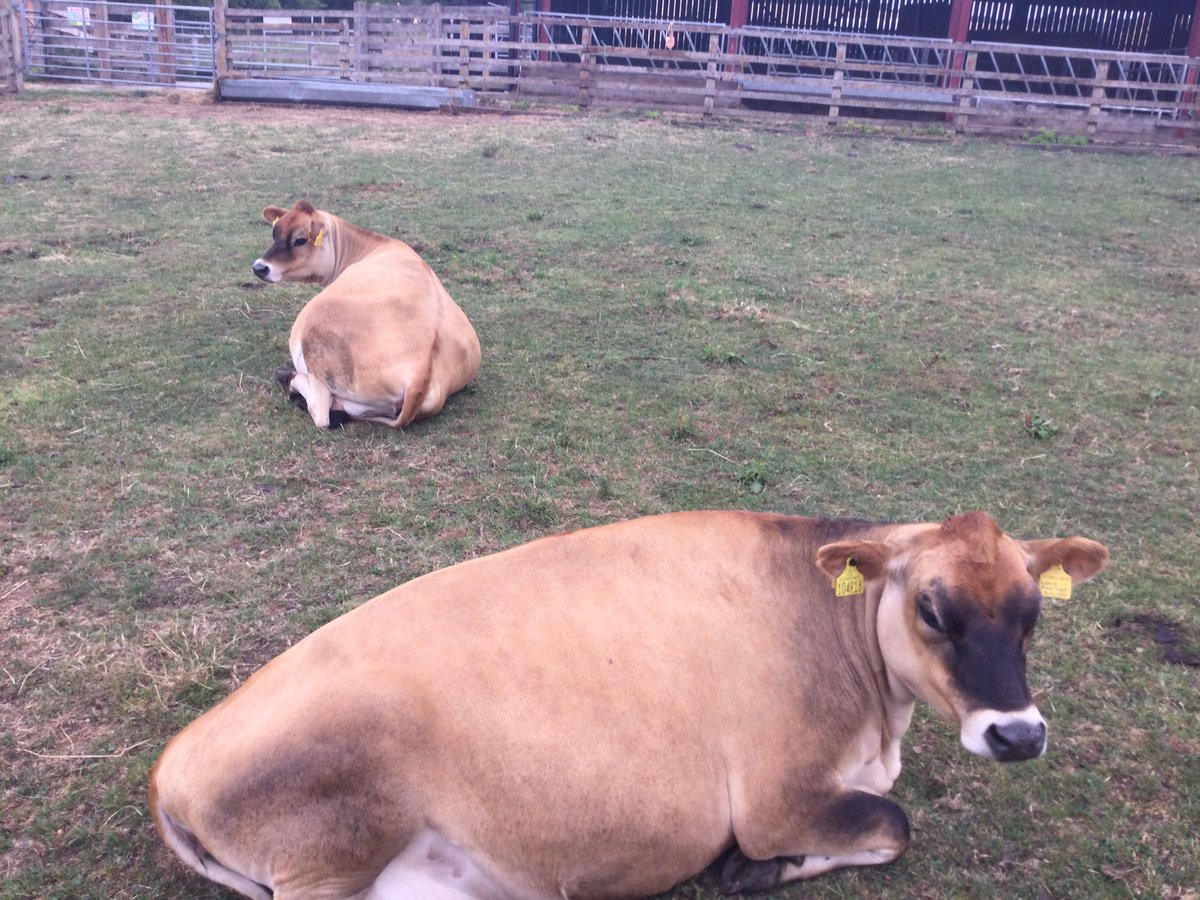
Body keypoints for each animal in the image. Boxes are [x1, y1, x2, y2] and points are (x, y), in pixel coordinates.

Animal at [149, 510, 1108, 899]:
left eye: (1033, 613)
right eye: (933, 610)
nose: (1017, 733)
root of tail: (171, 764)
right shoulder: (775, 798)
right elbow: (896, 824)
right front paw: (760, 869)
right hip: (326, 866)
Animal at [252, 200, 481, 430]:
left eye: (300, 240)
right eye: (274, 233)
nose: (259, 267)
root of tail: (419, 372)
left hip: (315, 345)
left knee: (322, 413)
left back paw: (290, 380)